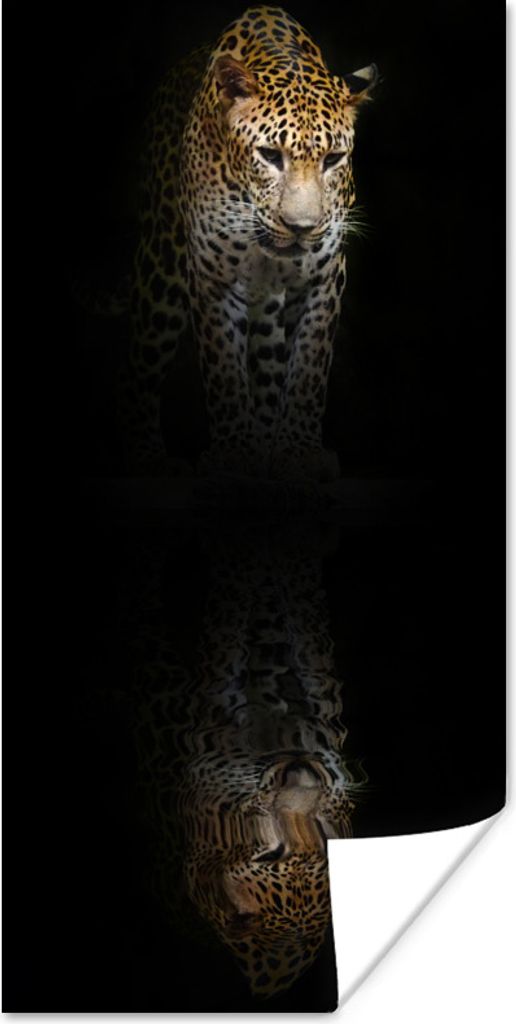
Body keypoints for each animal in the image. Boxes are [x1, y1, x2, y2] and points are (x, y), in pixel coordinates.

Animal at [120, 5, 377, 481]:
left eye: (333, 159)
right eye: (269, 156)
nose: (301, 226)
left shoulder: (325, 277)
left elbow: (309, 367)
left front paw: (297, 451)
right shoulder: (210, 277)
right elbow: (223, 367)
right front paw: (234, 452)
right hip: (160, 274)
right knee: (139, 368)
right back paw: (148, 457)